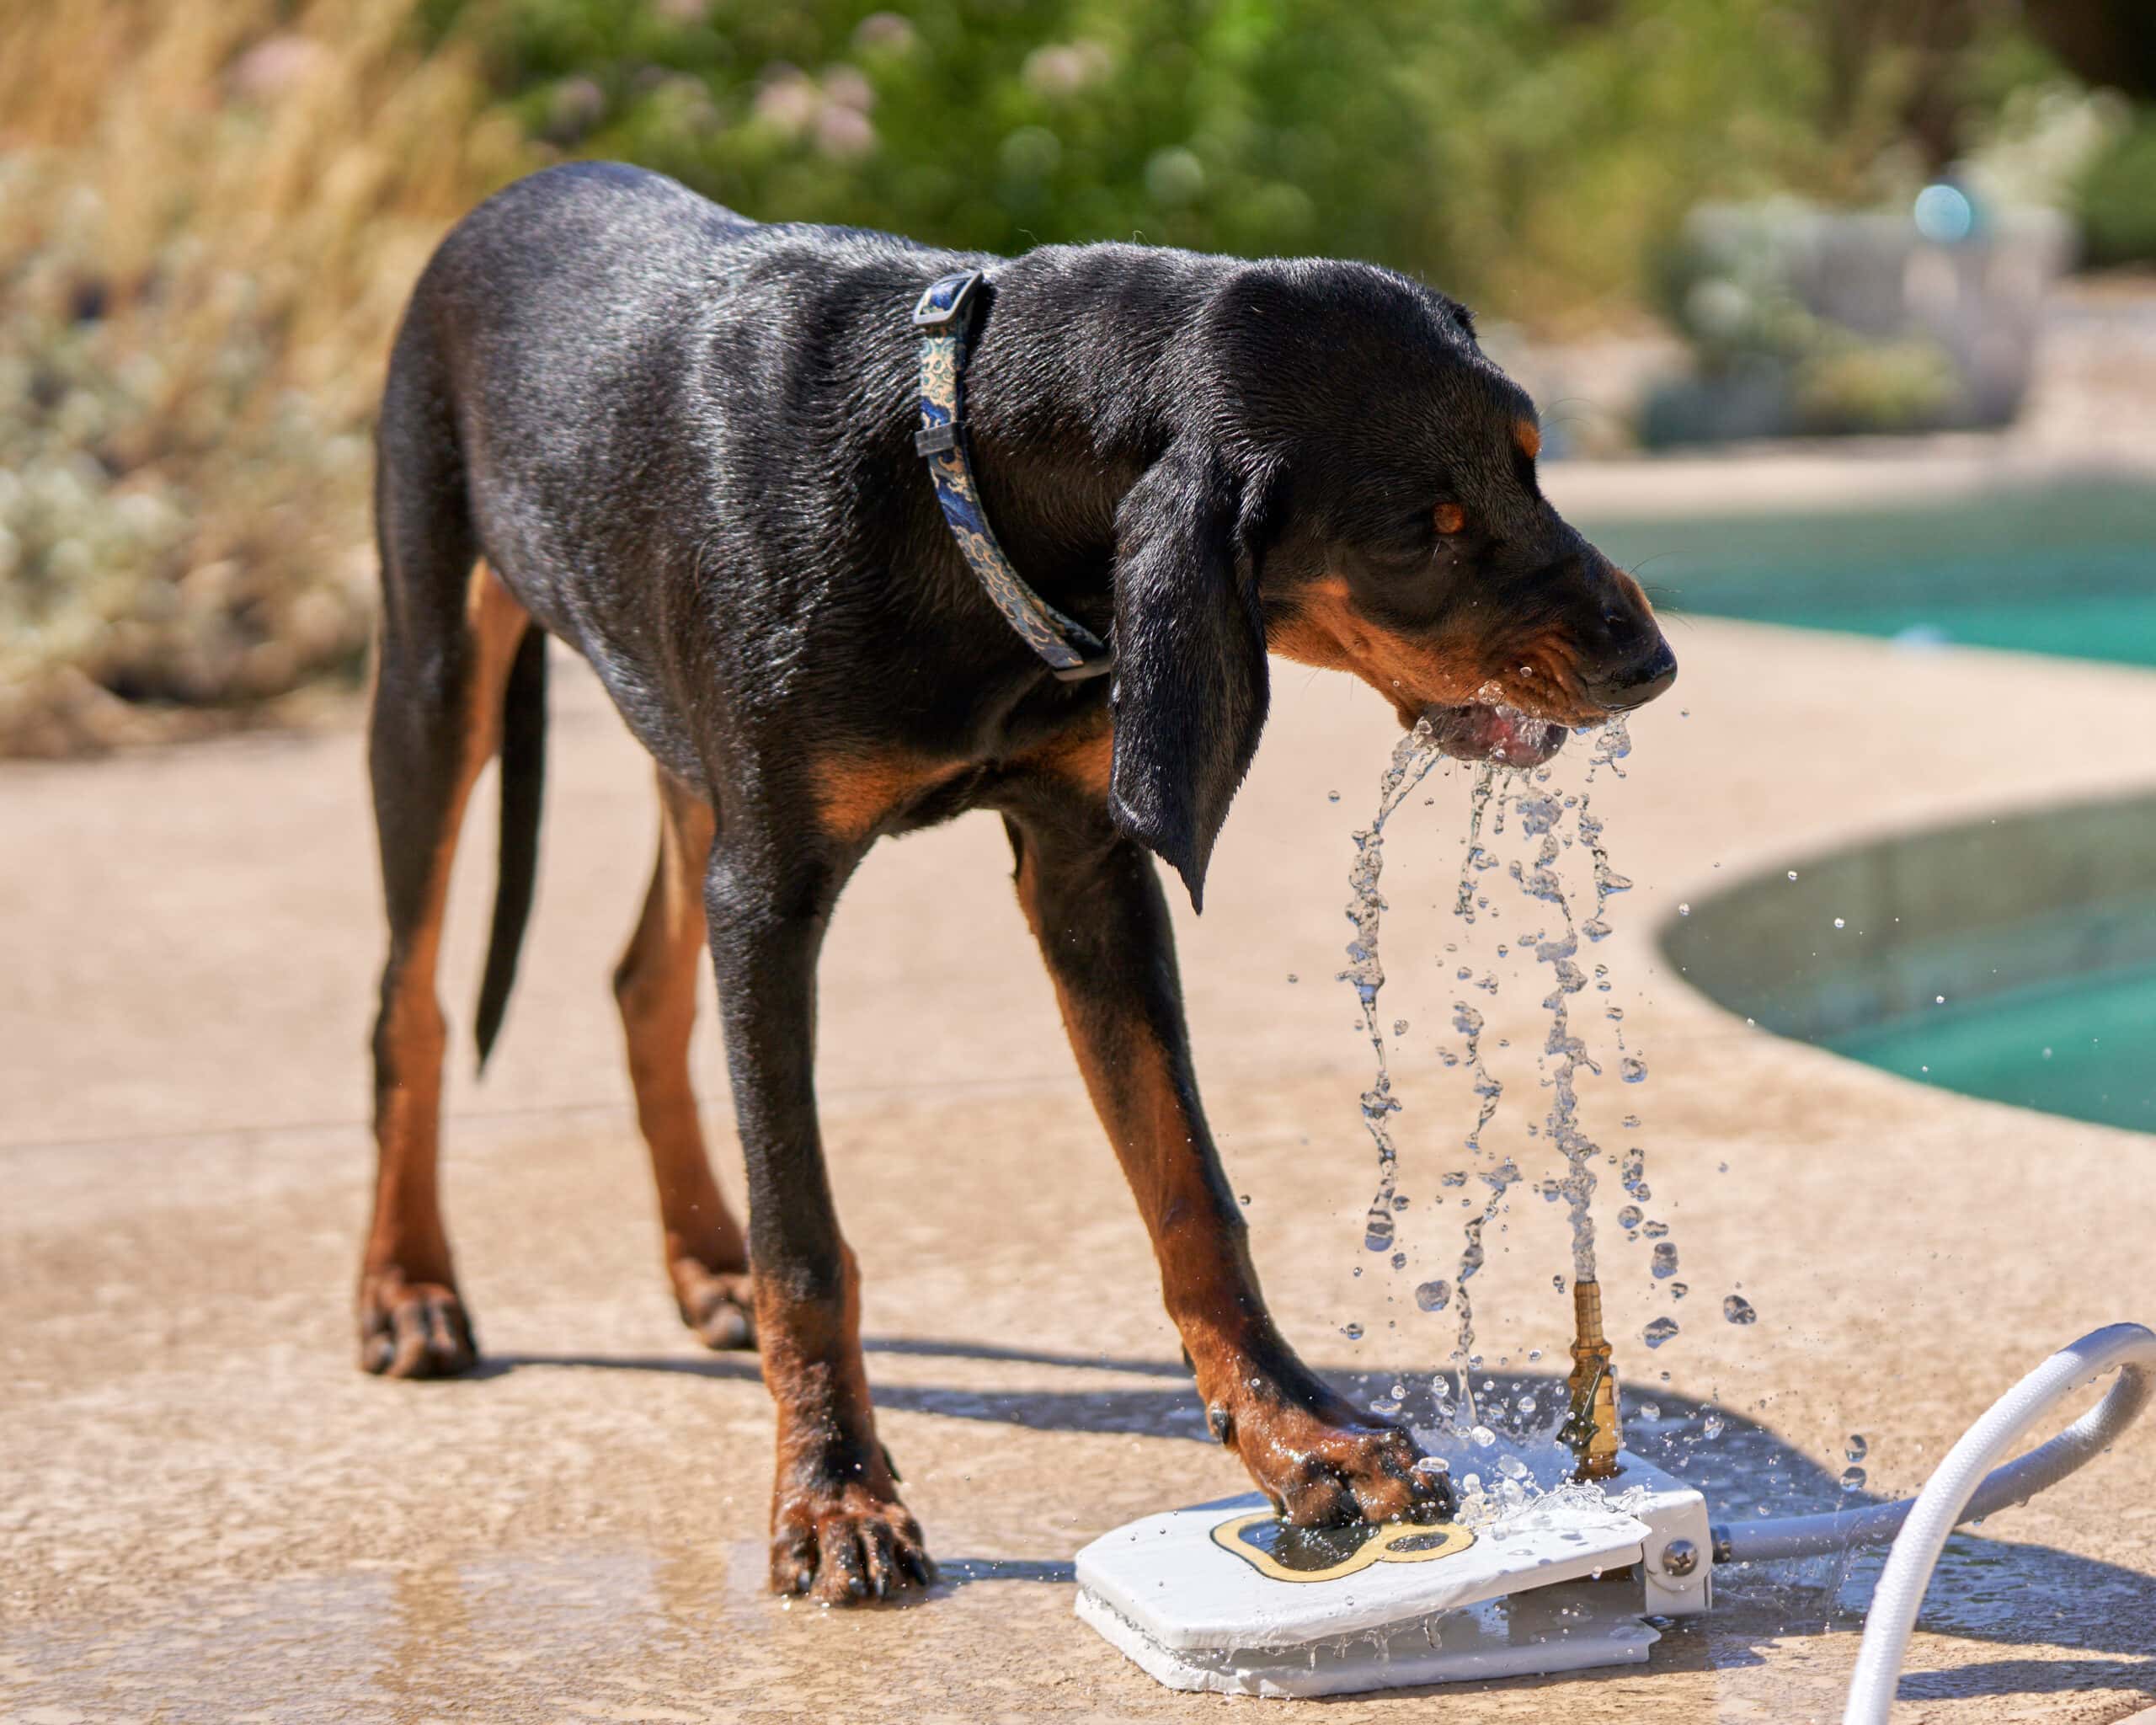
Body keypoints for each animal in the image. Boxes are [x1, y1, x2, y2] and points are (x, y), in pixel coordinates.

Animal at [362, 162, 1681, 1604]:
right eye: (1419, 534)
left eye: (1532, 462)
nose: (1651, 665)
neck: (950, 471)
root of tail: (522, 186)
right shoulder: (770, 893)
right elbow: (805, 1234)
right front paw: (833, 1494)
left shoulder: (1086, 863)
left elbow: (1191, 1187)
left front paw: (1296, 1434)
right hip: (435, 672)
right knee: (412, 1004)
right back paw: (408, 1289)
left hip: (674, 749)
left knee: (639, 982)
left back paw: (701, 1260)